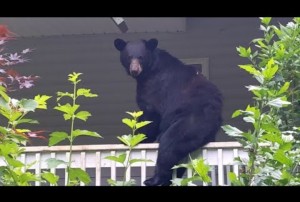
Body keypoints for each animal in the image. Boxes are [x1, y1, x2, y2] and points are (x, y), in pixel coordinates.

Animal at [115, 38, 223, 186]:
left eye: (141, 57)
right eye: (129, 57)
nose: (135, 70)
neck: (150, 70)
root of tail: (216, 120)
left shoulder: (154, 87)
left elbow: (150, 115)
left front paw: (135, 138)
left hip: (191, 123)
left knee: (169, 145)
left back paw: (153, 179)